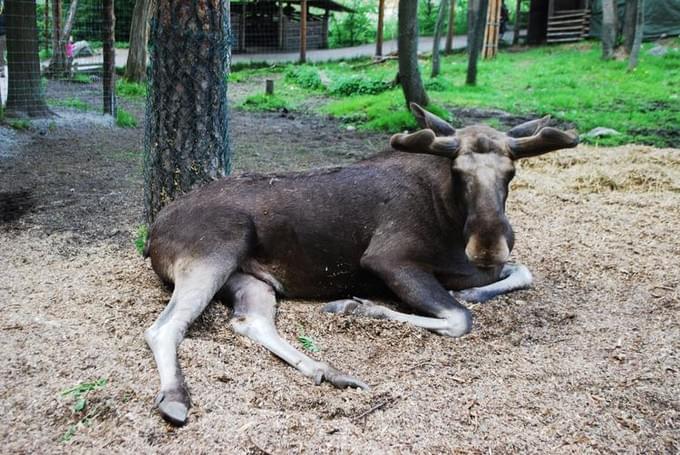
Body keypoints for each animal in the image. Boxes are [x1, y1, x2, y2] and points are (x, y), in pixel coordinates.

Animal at [143, 105, 580, 426]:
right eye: (459, 171)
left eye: (511, 171)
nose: (489, 247)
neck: (453, 221)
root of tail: (151, 235)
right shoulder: (388, 258)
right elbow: (460, 318)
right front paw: (356, 306)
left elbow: (520, 272)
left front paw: (473, 288)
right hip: (213, 254)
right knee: (164, 327)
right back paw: (176, 398)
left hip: (252, 279)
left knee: (250, 322)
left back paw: (329, 371)